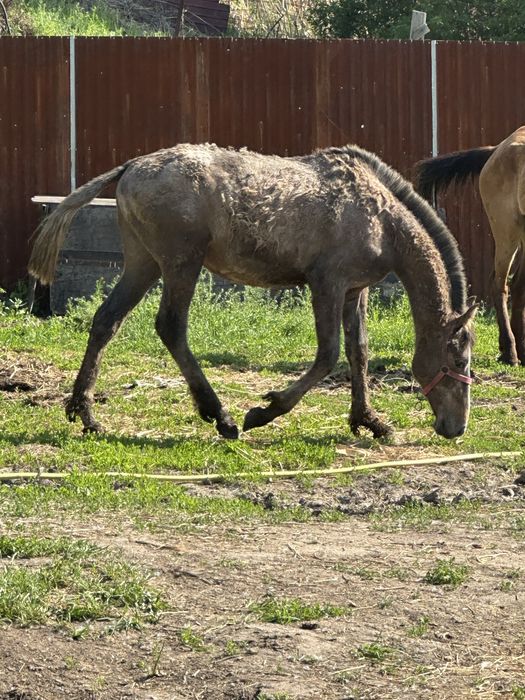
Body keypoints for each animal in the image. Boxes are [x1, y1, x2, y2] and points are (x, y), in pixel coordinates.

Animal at [28, 143, 477, 440]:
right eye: (458, 359)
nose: (456, 428)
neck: (381, 217)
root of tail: (131, 166)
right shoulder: (327, 285)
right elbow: (327, 355)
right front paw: (265, 411)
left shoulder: (354, 291)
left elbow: (358, 353)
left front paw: (368, 420)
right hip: (181, 264)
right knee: (171, 327)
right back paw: (221, 416)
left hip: (144, 264)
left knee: (107, 320)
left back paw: (86, 413)